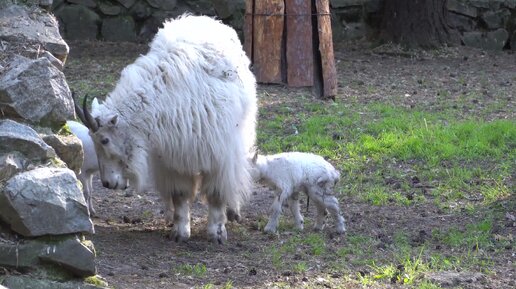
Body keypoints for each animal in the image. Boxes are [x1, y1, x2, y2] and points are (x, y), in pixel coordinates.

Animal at [74, 14, 256, 242]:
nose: (108, 183)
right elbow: (179, 195)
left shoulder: (219, 156)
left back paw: (233, 212)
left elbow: (216, 194)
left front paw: (216, 233)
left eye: (105, 140)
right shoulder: (172, 160)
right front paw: (180, 232)